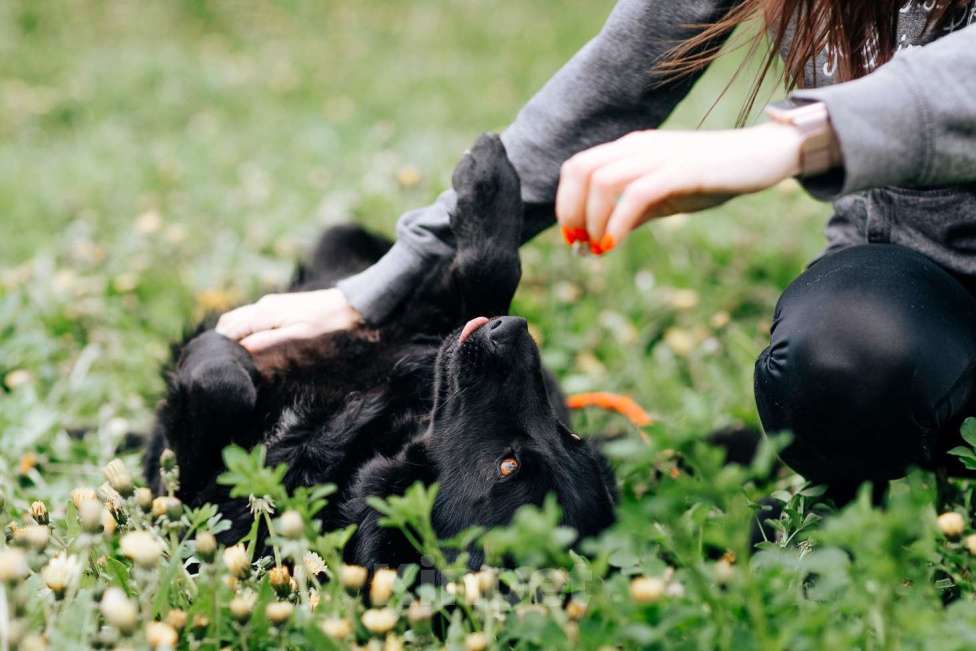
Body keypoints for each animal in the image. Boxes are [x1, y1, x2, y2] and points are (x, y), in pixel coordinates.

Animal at [143, 135, 616, 568]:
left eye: (507, 466)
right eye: (571, 435)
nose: (513, 330)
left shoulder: (198, 492)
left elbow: (221, 386)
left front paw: (214, 350)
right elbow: (491, 271)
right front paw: (490, 176)